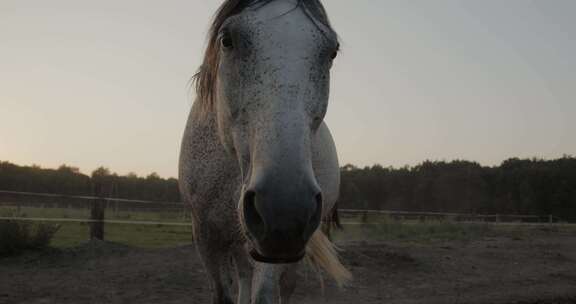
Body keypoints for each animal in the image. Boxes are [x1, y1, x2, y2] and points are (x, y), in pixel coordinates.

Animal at [179, 1, 352, 302]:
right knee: (244, 274)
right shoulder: (205, 236)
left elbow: (265, 294)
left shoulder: (273, 250)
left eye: (331, 51)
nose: (285, 210)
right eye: (227, 40)